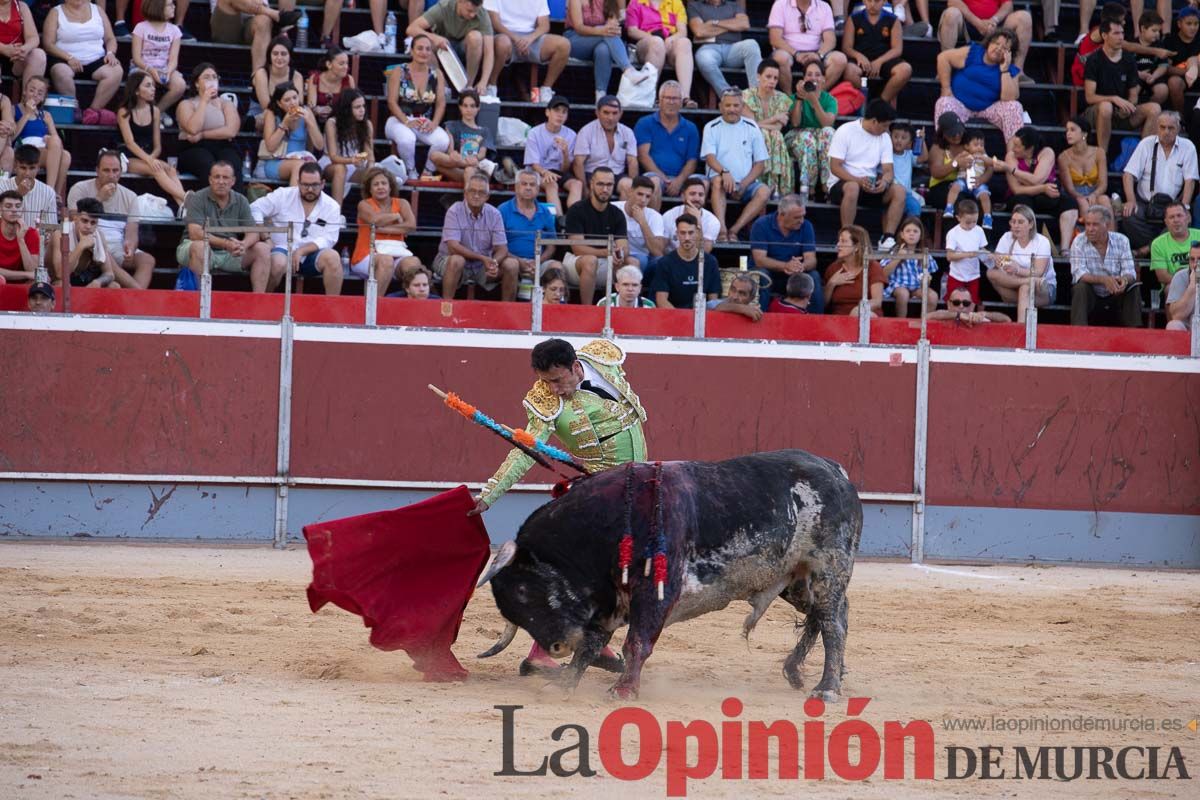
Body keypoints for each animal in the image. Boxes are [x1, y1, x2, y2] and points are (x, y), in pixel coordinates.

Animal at [477, 450, 864, 700]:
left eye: (524, 591)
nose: (556, 647)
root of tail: (835, 471)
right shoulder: (608, 598)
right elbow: (591, 643)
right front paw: (565, 682)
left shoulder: (655, 591)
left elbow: (636, 641)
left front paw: (622, 690)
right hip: (796, 581)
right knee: (828, 616)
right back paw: (801, 671)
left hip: (827, 569)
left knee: (833, 623)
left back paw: (826, 689)